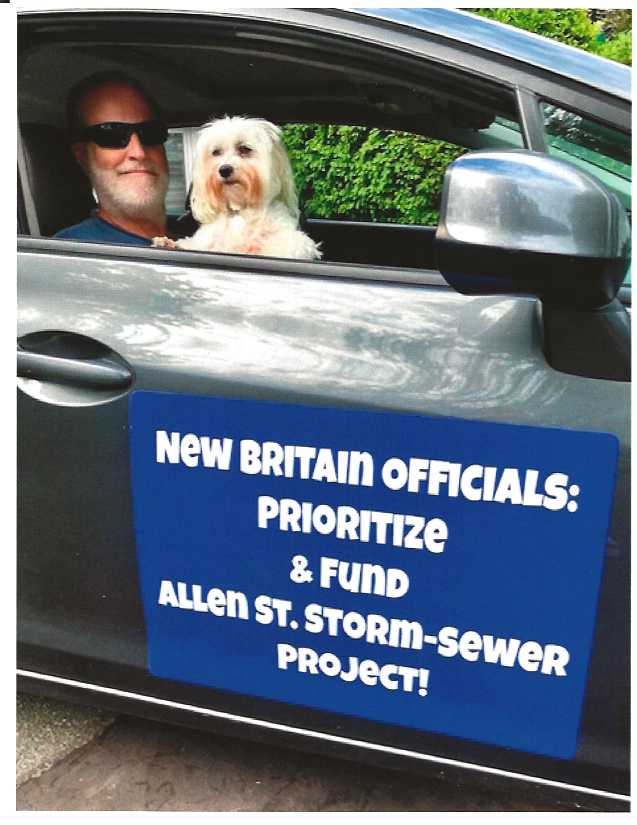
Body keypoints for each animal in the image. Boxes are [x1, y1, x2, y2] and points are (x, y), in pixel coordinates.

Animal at [153, 116, 321, 260]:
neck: (239, 210)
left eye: (244, 149)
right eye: (216, 152)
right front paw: (168, 243)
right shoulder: (207, 242)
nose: (224, 169)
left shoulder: (293, 241)